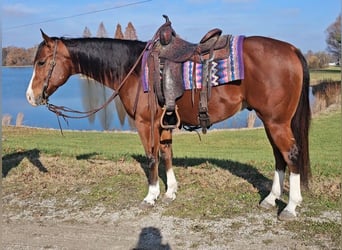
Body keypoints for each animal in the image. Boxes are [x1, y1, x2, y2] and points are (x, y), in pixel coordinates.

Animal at [26, 23, 310, 221]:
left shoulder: (145, 124)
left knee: (291, 154)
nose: (30, 96)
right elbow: (167, 154)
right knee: (279, 157)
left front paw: (151, 196)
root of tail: (292, 50)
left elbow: (152, 157)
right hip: (270, 121)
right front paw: (171, 191)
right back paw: (271, 199)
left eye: (41, 62)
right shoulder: (164, 123)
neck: (133, 69)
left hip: (276, 122)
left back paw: (291, 206)